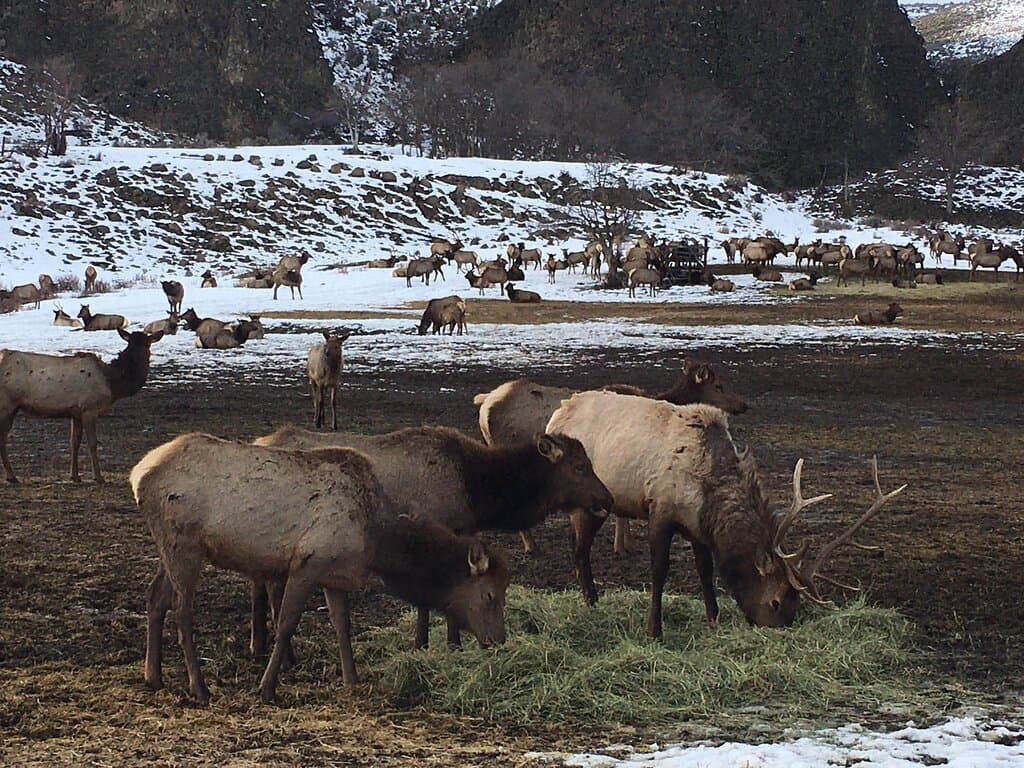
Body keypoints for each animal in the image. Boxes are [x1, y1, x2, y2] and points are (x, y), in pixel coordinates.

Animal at [1, 328, 164, 483]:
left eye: (147, 343)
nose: (140, 358)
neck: (112, 383)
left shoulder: (76, 412)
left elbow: (75, 442)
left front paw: (75, 476)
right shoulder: (89, 408)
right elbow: (92, 443)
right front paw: (98, 477)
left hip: (12, 408)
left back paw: (12, 476)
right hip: (7, 405)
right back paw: (11, 476)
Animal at [547, 392, 905, 629]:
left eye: (796, 605)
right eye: (776, 601)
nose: (775, 628)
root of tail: (556, 414)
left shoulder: (696, 526)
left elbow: (706, 570)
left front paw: (714, 618)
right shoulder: (660, 509)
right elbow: (659, 571)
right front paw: (654, 630)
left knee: (578, 548)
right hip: (587, 501)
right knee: (579, 550)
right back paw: (592, 603)